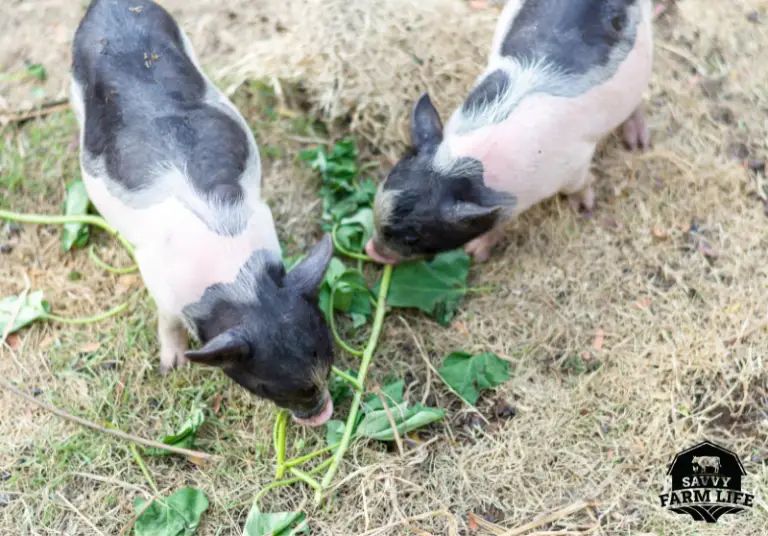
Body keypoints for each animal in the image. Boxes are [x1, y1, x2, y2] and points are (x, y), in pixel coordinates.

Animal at [70, 0, 335, 426]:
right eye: (266, 386)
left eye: (329, 359)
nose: (322, 415)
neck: (239, 283)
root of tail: (113, 5)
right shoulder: (155, 275)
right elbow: (167, 320)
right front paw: (171, 367)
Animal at [367, 0, 654, 263]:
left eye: (412, 238)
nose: (371, 250)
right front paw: (476, 252)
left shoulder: (576, 161)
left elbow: (580, 184)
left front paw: (583, 209)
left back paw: (637, 144)